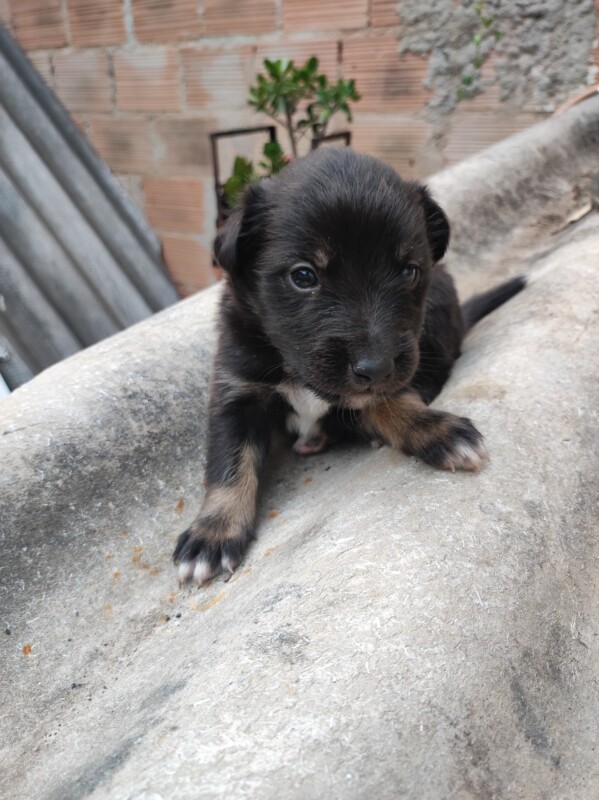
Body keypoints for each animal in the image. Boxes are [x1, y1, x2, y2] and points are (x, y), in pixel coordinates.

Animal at [173, 147, 524, 584]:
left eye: (409, 271)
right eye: (303, 276)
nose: (375, 368)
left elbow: (392, 400)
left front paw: (433, 429)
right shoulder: (236, 391)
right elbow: (229, 461)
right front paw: (214, 531)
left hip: (440, 301)